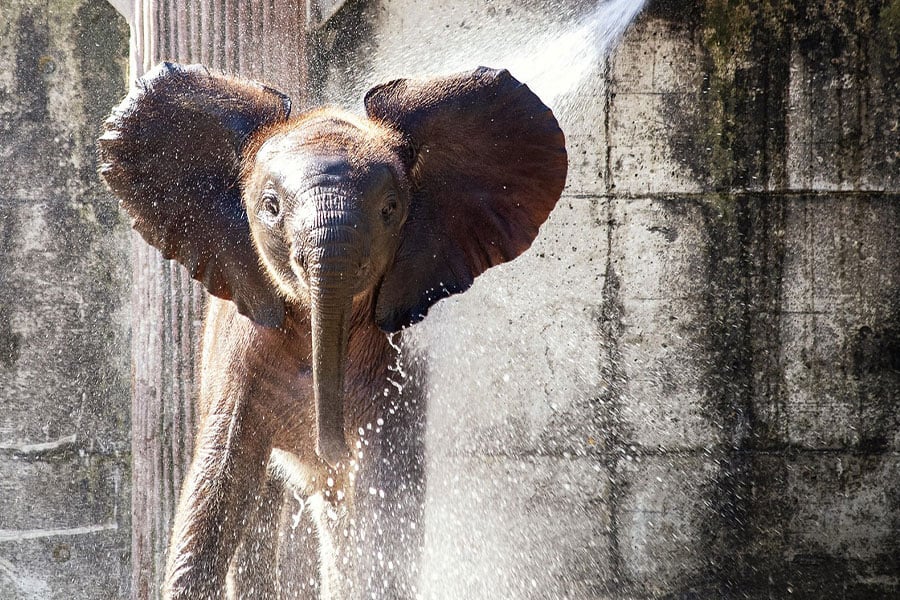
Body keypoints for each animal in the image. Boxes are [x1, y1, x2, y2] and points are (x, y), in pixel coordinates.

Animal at [98, 62, 567, 599]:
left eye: (389, 209)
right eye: (271, 207)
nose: (331, 448)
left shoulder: (394, 372)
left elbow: (382, 505)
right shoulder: (240, 356)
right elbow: (216, 485)